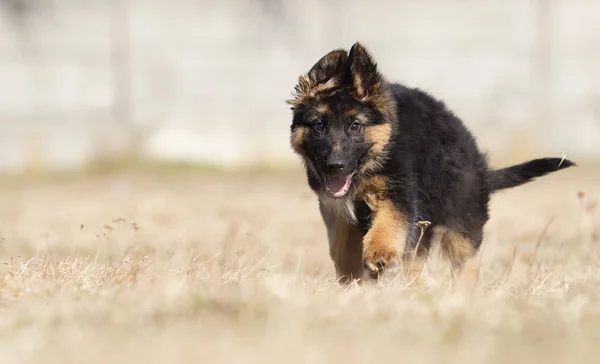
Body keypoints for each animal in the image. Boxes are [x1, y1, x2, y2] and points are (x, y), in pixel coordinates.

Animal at [288, 42, 576, 282]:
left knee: (465, 265)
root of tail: (482, 170)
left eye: (355, 126)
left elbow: (388, 223)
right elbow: (342, 247)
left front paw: (378, 253)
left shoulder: (400, 196)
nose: (335, 165)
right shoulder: (336, 209)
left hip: (461, 226)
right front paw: (351, 279)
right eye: (319, 126)